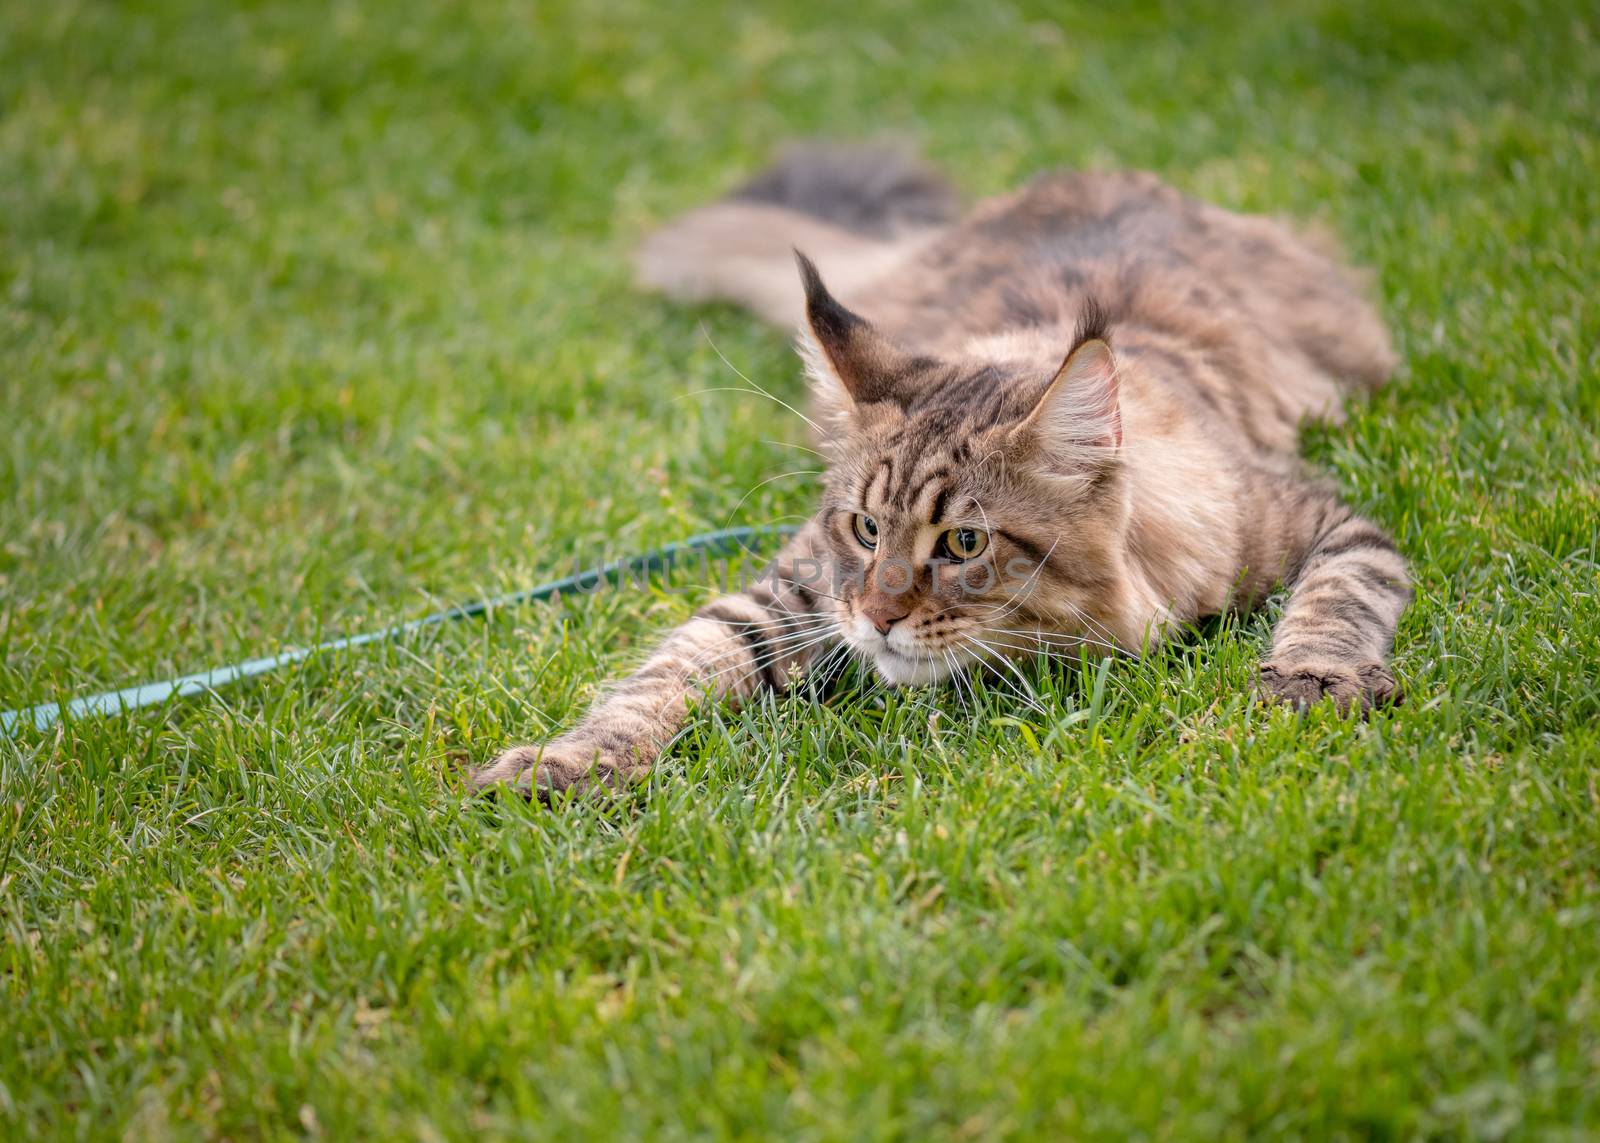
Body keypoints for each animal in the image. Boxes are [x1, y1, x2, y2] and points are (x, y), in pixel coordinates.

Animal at [467, 142, 1408, 797]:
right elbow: (666, 672)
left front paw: (1313, 680)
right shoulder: (791, 594)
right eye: (865, 527)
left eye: (963, 543)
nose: (879, 618)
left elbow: (1339, 597)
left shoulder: (1326, 521)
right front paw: (565, 762)